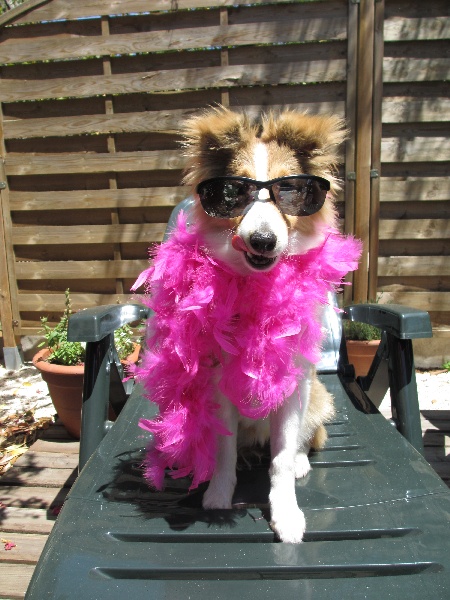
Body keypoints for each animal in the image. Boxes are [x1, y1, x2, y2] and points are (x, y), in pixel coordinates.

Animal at [175, 107, 347, 542]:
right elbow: (222, 452)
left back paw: (300, 460)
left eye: (292, 191)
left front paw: (285, 514)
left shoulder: (291, 389)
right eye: (232, 194)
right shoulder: (219, 388)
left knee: (303, 439)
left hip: (317, 398)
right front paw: (219, 494)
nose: (263, 240)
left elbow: (281, 459)